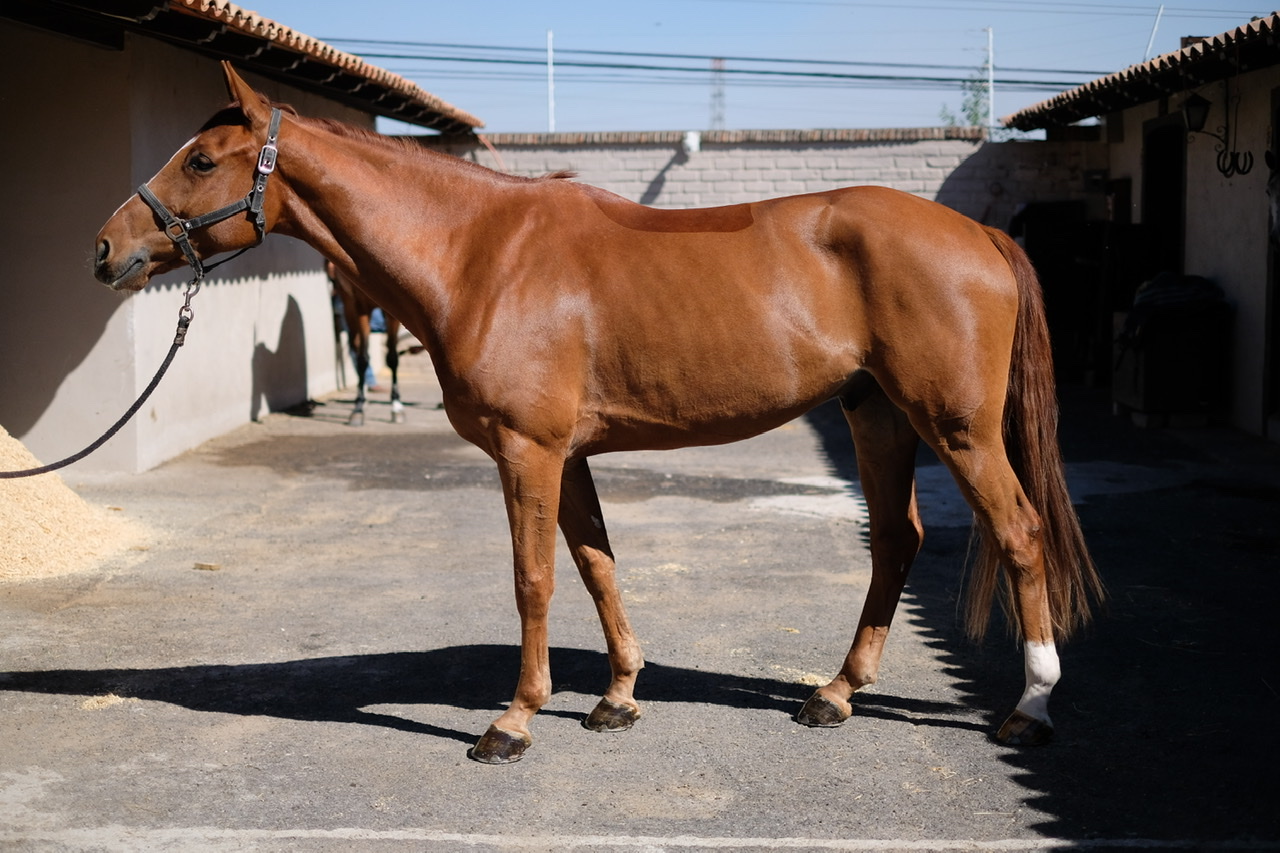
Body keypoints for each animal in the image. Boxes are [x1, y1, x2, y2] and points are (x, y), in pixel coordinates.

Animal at [330, 256, 404, 422]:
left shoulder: (393, 313)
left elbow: (392, 357)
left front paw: (396, 406)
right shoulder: (361, 306)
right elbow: (363, 358)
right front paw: (358, 407)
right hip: (348, 304)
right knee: (356, 347)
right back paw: (361, 396)